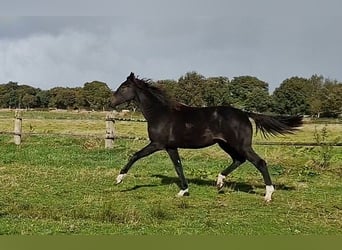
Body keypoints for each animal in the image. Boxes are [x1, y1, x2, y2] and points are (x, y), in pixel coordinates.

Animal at [111, 72, 302, 201]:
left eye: (125, 87)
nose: (110, 102)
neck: (160, 114)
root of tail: (244, 113)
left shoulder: (157, 144)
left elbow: (135, 155)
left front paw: (119, 179)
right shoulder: (171, 147)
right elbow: (178, 167)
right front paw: (183, 191)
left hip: (241, 145)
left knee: (259, 162)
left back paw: (268, 194)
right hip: (225, 144)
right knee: (239, 160)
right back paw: (219, 182)